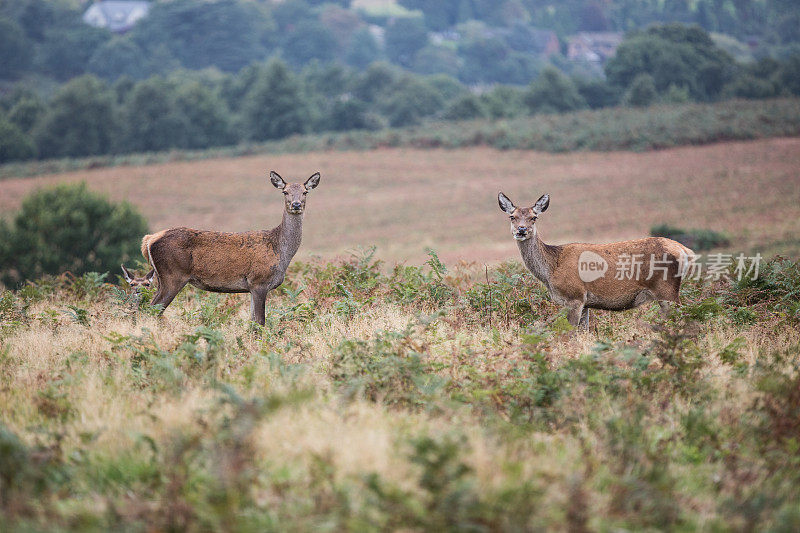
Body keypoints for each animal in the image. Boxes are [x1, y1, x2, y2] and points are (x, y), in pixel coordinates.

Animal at [139, 170, 320, 324]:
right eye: (285, 192)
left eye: (305, 192)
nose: (296, 205)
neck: (280, 251)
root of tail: (149, 240)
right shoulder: (259, 281)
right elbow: (260, 322)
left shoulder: (252, 287)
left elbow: (252, 322)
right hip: (173, 275)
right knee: (152, 310)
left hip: (162, 278)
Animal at [496, 189, 696, 326]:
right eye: (512, 217)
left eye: (534, 217)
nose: (521, 230)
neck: (551, 270)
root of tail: (685, 250)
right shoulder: (585, 303)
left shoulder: (575, 296)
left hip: (667, 288)